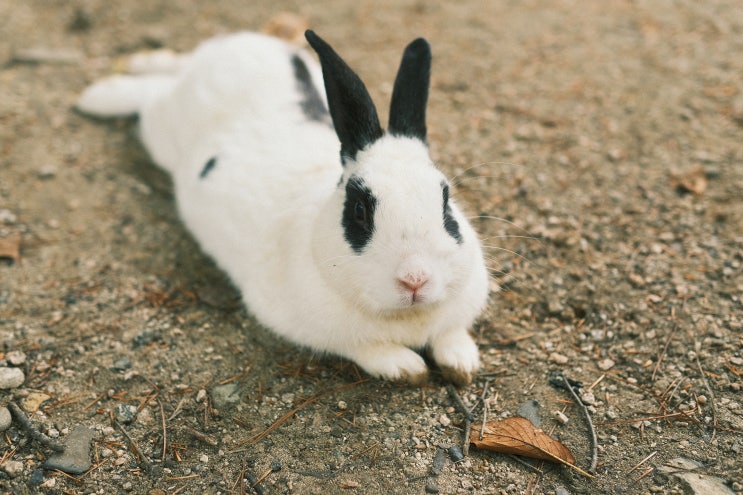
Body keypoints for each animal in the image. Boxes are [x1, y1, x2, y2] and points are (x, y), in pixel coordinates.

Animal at [77, 30, 494, 388]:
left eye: (446, 201)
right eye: (359, 212)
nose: (415, 280)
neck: (409, 316)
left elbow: (451, 334)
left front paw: (463, 363)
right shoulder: (324, 332)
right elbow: (368, 349)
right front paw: (407, 368)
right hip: (162, 127)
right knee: (150, 97)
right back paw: (98, 95)